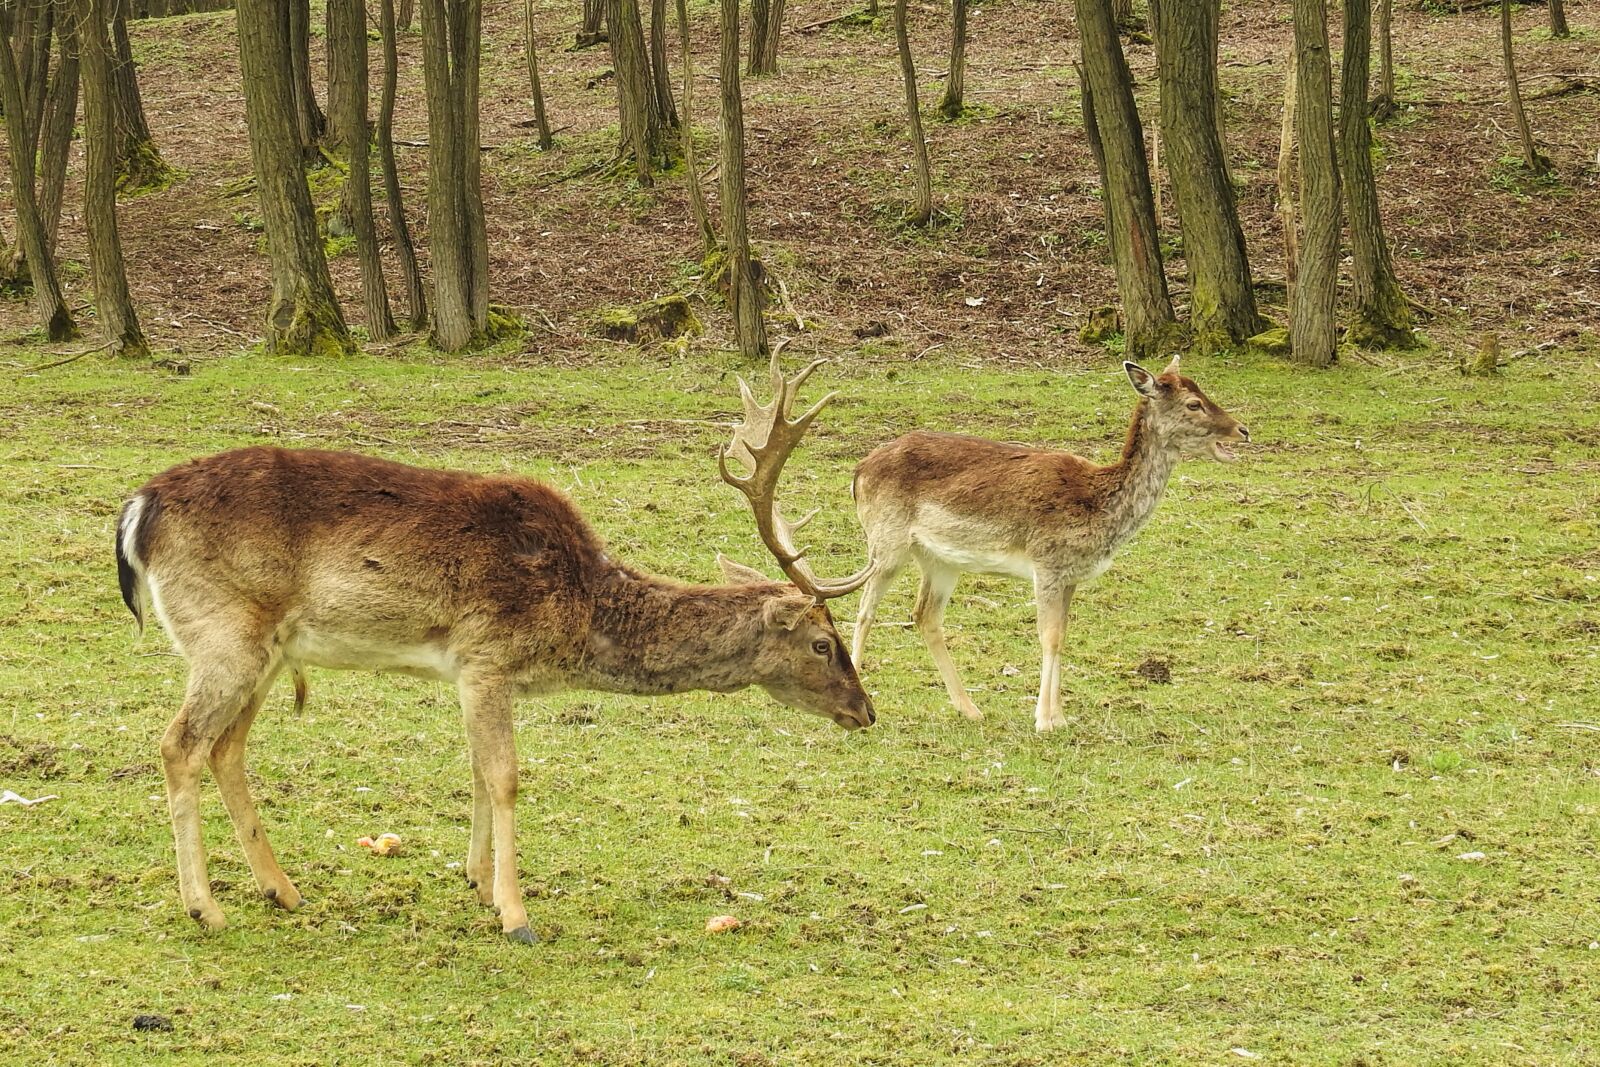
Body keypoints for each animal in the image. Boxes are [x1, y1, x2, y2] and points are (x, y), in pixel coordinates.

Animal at [115, 355, 872, 944]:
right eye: (823, 643)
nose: (866, 711)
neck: (579, 607)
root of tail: (138, 508)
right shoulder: (487, 655)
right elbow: (505, 775)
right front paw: (515, 914)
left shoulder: (470, 673)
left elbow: (478, 770)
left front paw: (478, 882)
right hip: (223, 633)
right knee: (179, 743)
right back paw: (205, 907)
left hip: (266, 652)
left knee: (225, 748)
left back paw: (282, 889)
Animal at [849, 356, 1249, 733]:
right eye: (1194, 404)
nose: (1242, 430)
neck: (1098, 507)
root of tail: (858, 470)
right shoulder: (1047, 564)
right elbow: (1049, 636)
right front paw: (1043, 720)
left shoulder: (1071, 576)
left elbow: (1063, 634)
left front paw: (1060, 716)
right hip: (886, 540)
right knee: (865, 608)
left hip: (940, 560)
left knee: (924, 615)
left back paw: (970, 709)